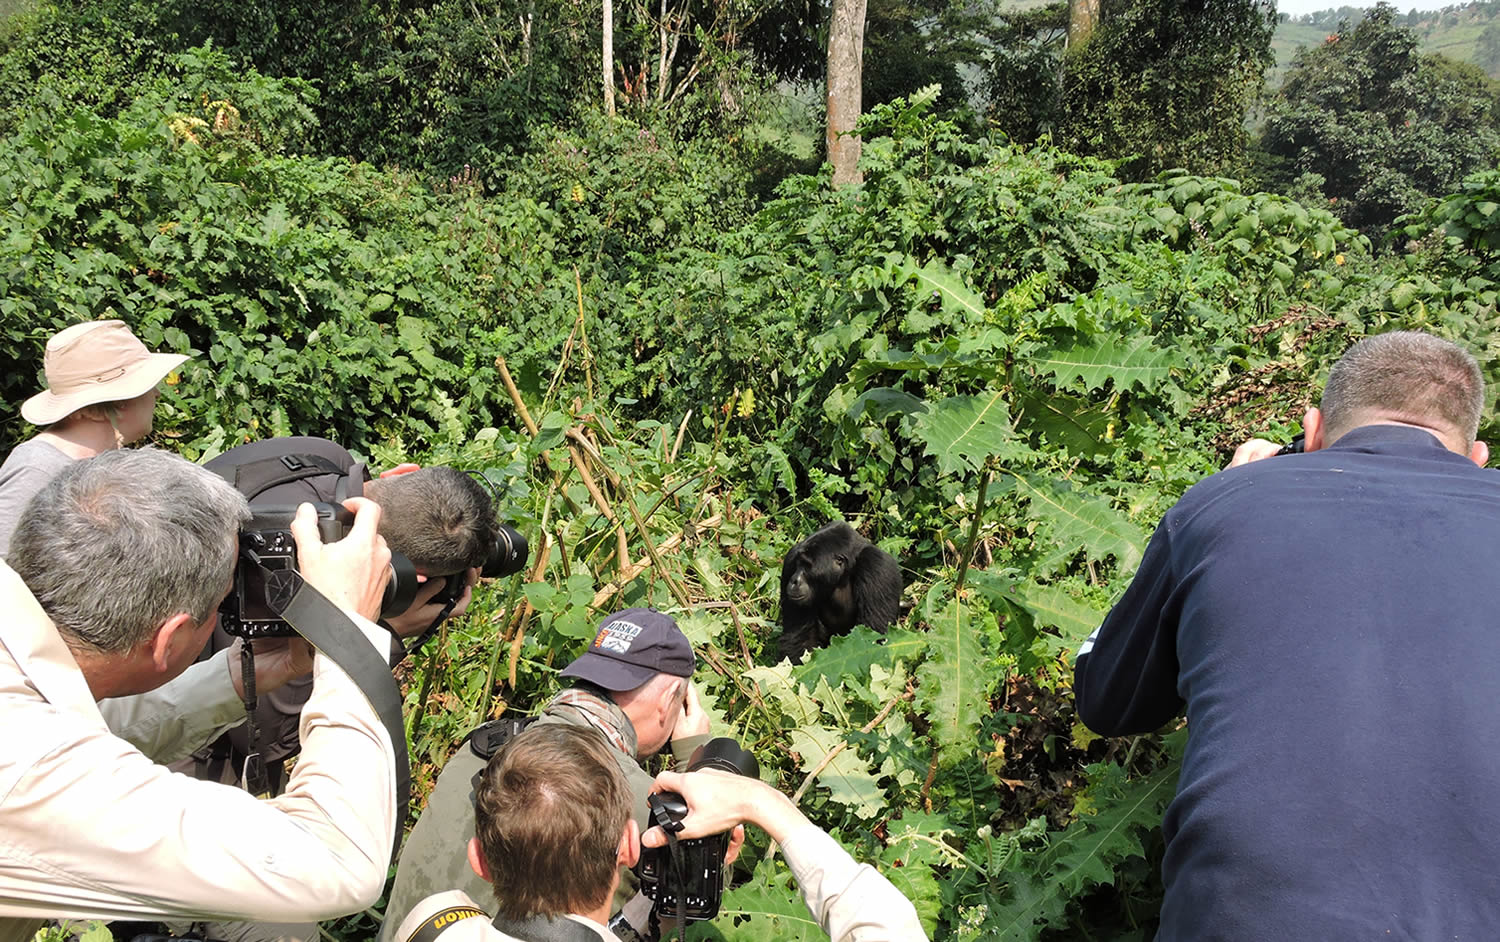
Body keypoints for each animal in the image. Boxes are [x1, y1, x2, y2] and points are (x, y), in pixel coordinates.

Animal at [774, 522, 900, 663]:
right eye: (798, 564)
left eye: (807, 566)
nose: (794, 580)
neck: (843, 575)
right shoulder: (790, 559)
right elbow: (799, 638)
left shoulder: (877, 565)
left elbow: (873, 635)